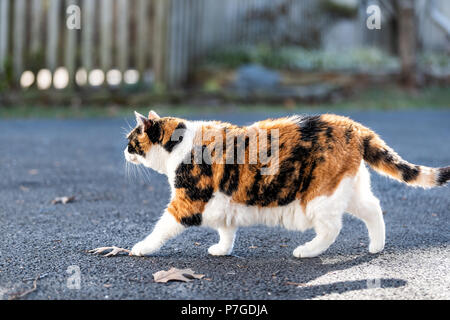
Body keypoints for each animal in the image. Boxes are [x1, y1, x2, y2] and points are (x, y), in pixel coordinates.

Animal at [90, 111, 446, 258]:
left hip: (318, 196)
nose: (123, 151)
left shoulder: (188, 201)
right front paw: (222, 250)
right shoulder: (225, 201)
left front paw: (141, 248)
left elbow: (161, 228)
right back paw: (376, 246)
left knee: (332, 228)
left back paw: (308, 251)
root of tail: (355, 126)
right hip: (349, 188)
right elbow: (226, 229)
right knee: (374, 208)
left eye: (131, 140)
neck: (179, 143)